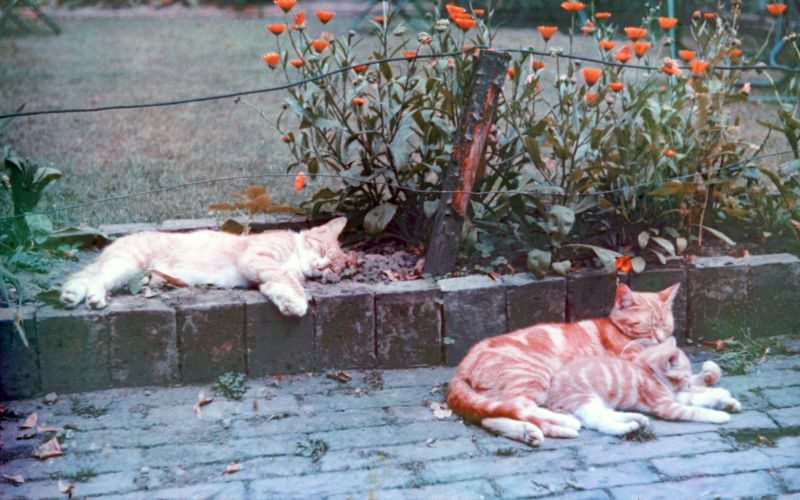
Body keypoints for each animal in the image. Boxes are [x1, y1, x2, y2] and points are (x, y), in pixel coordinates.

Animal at [61, 216, 348, 316]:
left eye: (333, 269)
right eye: (322, 251)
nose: (321, 267)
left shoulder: (263, 277)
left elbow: (282, 286)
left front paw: (290, 304)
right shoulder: (258, 259)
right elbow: (289, 282)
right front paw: (298, 301)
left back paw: (71, 296)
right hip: (126, 265)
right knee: (97, 279)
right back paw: (94, 298)